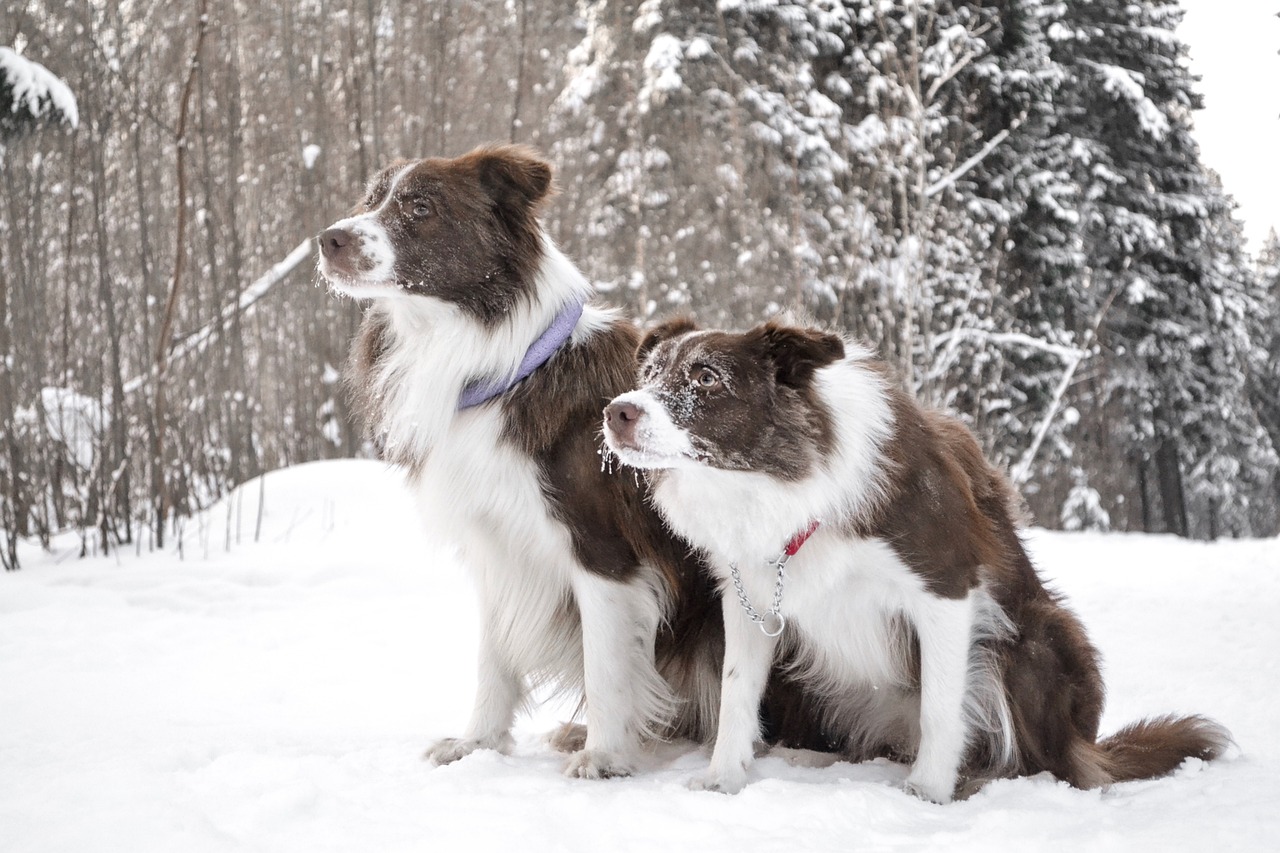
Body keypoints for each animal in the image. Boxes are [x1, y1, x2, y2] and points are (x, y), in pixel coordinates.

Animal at [604, 317, 1233, 799]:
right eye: (649, 375)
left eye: (706, 377)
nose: (617, 412)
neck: (783, 485)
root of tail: (1085, 744)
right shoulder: (751, 601)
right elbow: (736, 694)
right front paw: (723, 779)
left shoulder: (946, 588)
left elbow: (941, 704)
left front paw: (928, 792)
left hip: (1039, 638)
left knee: (1040, 758)